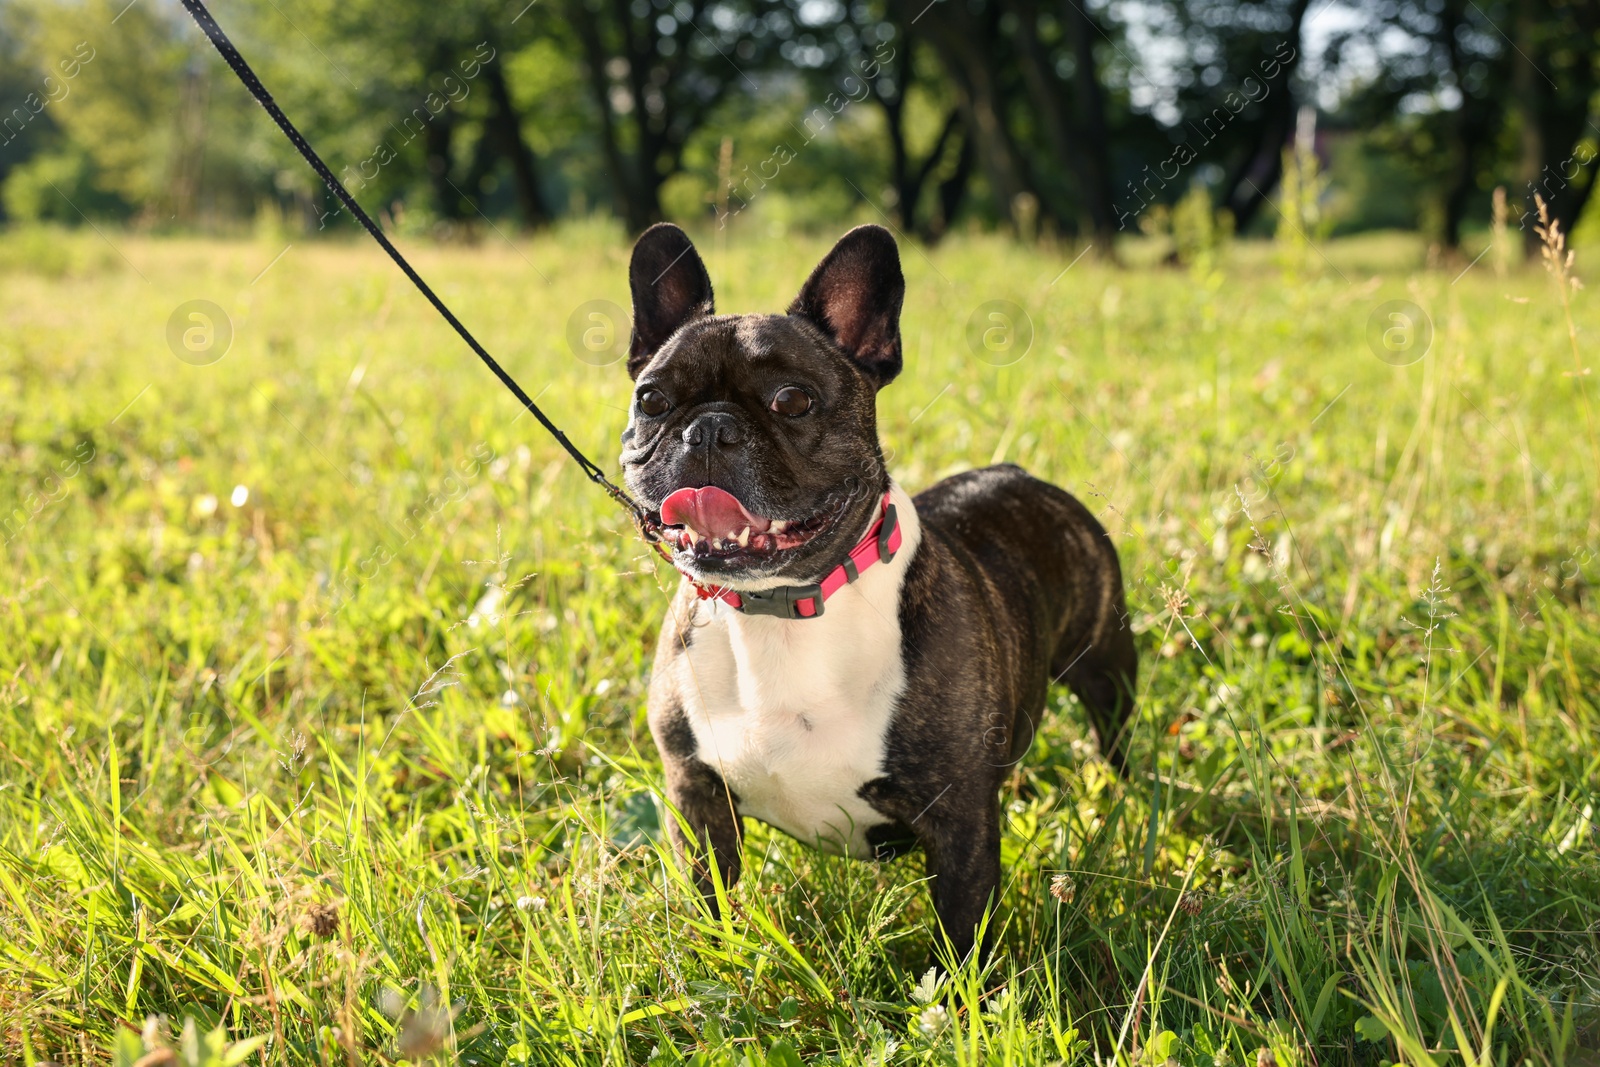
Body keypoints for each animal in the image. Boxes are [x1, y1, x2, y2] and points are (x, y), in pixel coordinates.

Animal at [614, 220, 1139, 966]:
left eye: (793, 401)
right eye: (652, 400)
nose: (709, 427)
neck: (782, 609)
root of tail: (1017, 471)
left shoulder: (959, 822)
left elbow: (962, 932)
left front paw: (961, 995)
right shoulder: (697, 796)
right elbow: (708, 894)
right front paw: (711, 959)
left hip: (1107, 663)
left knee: (1114, 731)